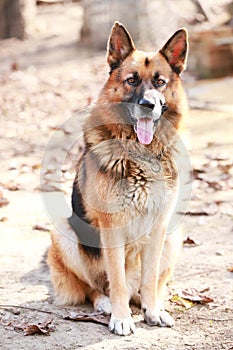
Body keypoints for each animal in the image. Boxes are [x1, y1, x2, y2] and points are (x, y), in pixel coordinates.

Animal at [48, 22, 188, 336]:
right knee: (94, 286)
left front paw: (153, 311)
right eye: (131, 80)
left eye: (160, 82)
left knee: (144, 286)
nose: (148, 105)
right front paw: (122, 317)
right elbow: (117, 280)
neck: (140, 154)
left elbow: (149, 277)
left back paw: (149, 303)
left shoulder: (159, 226)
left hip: (174, 236)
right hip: (64, 232)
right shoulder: (111, 228)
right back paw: (105, 303)